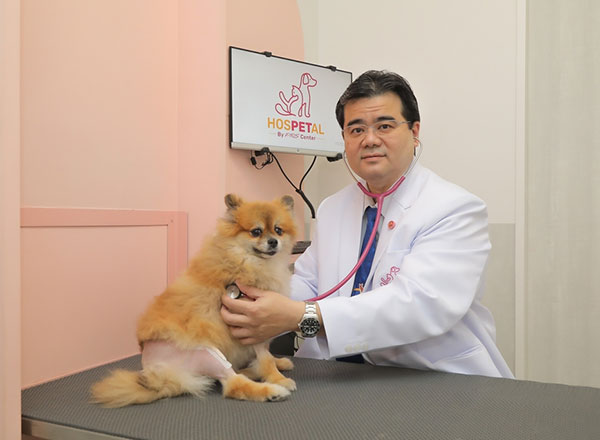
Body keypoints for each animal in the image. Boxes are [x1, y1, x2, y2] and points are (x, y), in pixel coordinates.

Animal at [90, 194, 298, 406]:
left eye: (278, 230)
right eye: (256, 232)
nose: (273, 241)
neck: (246, 260)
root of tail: (158, 376)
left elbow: (267, 355)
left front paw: (278, 362)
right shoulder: (251, 324)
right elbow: (265, 359)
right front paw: (277, 377)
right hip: (207, 353)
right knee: (233, 384)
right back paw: (273, 391)